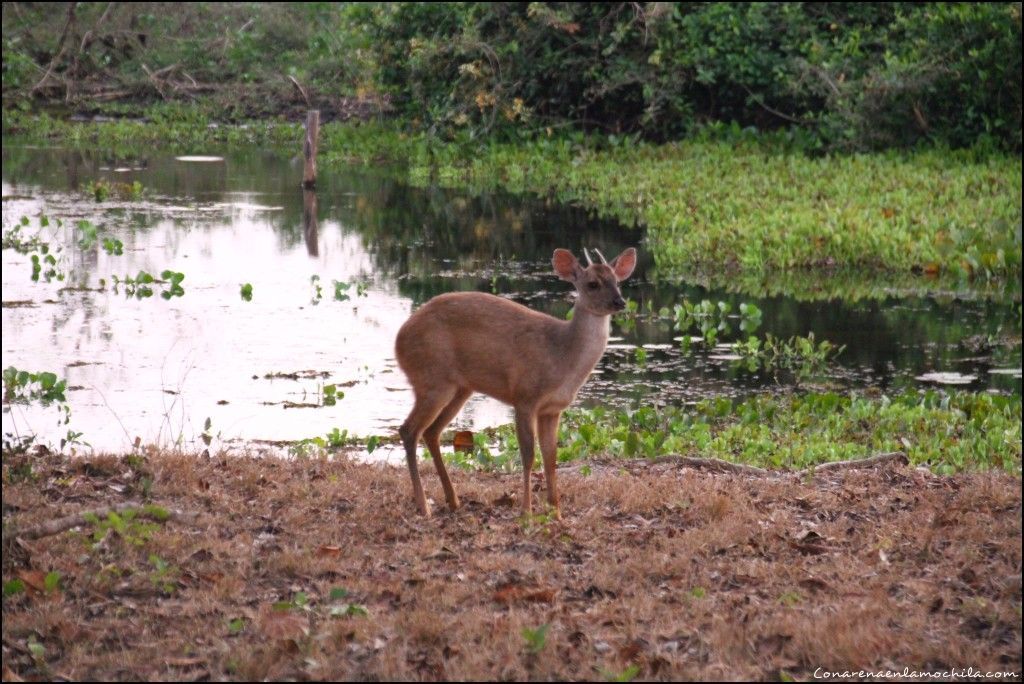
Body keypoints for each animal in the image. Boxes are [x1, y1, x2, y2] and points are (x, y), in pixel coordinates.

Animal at [395, 246, 634, 518]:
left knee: (431, 432)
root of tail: (398, 340)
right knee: (409, 430)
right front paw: (527, 511)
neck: (561, 355)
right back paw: (424, 505)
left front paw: (556, 513)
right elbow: (528, 455)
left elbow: (551, 457)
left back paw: (453, 500)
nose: (619, 302)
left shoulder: (552, 409)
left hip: (460, 388)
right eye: (593, 283)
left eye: (617, 282)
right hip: (432, 380)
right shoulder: (525, 397)